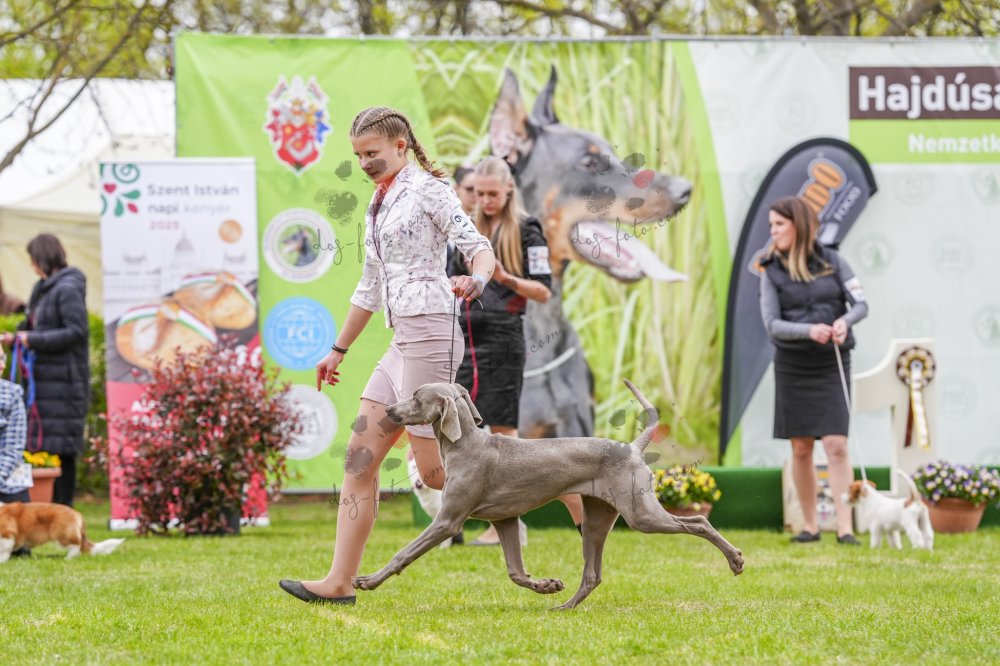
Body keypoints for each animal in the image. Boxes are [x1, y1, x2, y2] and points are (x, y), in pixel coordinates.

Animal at [352, 380, 743, 609]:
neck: (466, 444)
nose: (388, 410)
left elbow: (403, 553)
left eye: (416, 398)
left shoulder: (448, 520)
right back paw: (564, 606)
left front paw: (368, 580)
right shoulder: (505, 519)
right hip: (596, 519)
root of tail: (632, 447)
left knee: (698, 520)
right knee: (593, 575)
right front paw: (546, 585)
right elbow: (515, 571)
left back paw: (736, 560)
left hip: (640, 513)